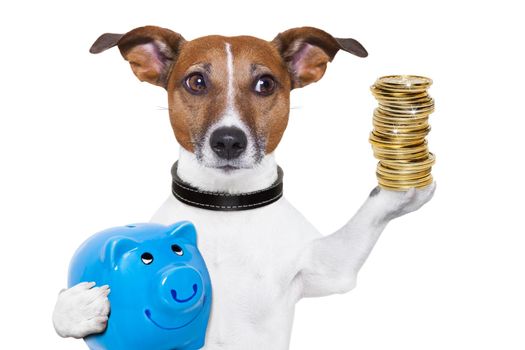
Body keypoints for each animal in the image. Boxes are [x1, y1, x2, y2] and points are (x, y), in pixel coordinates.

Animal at [52, 26, 434, 348]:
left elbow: (369, 215)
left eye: (265, 84)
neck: (227, 205)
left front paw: (406, 175)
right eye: (196, 82)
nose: (228, 141)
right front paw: (78, 306)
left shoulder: (329, 268)